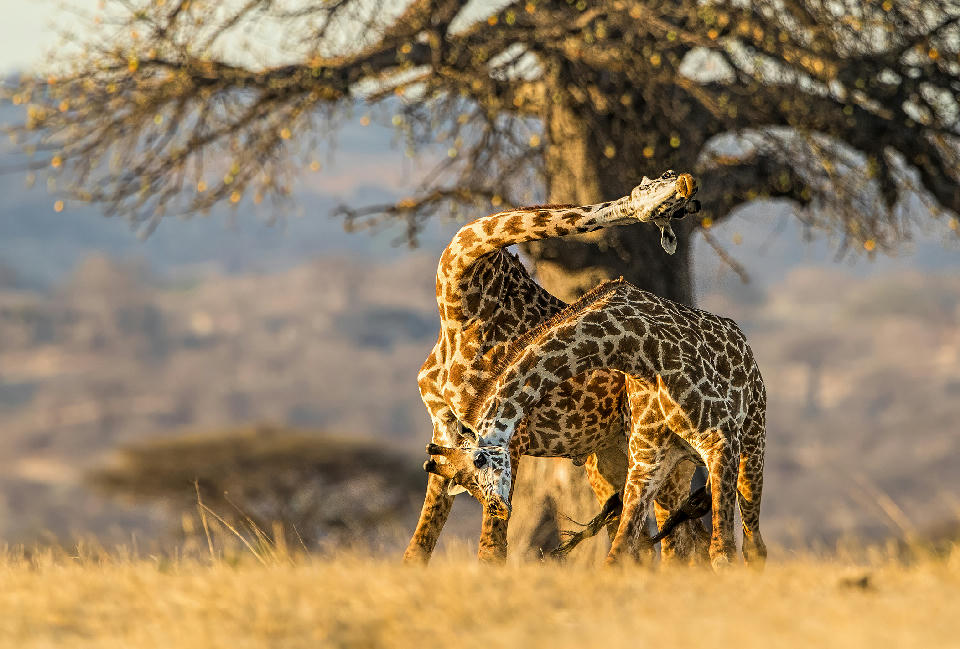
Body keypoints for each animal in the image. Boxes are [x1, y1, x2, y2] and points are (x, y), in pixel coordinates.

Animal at [404, 170, 706, 564]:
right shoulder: (446, 433)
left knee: (680, 543)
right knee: (646, 540)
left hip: (666, 460)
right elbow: (418, 548)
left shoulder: (510, 435)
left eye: (676, 206)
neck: (461, 306)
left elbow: (492, 549)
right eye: (657, 187)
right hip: (611, 457)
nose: (688, 185)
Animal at [430, 278, 767, 570]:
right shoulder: (647, 462)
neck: (634, 347)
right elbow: (618, 553)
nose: (497, 508)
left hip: (752, 439)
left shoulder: (720, 439)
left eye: (479, 462)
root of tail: (742, 339)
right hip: (679, 462)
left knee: (752, 545)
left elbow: (723, 552)